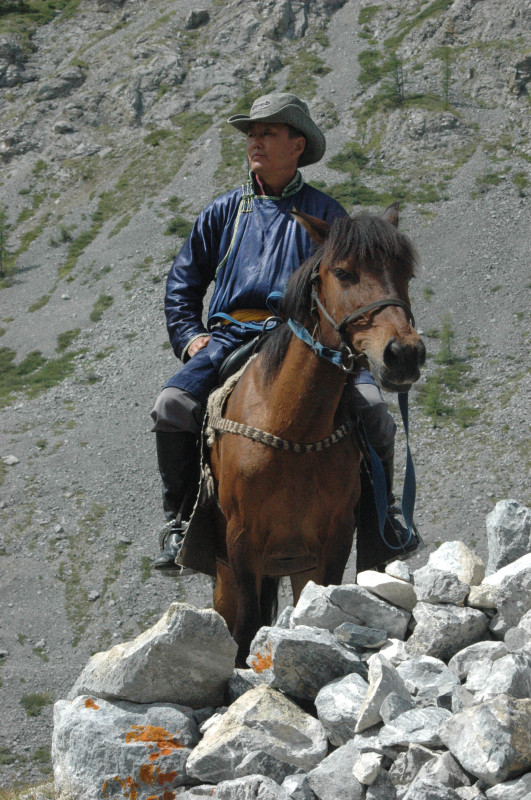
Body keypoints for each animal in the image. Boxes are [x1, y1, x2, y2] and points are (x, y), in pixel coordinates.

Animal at [206, 202, 426, 664]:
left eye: (406, 273)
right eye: (342, 272)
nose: (404, 354)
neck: (293, 433)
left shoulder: (335, 535)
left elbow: (321, 604)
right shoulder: (241, 541)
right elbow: (247, 626)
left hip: (294, 564)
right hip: (226, 575)